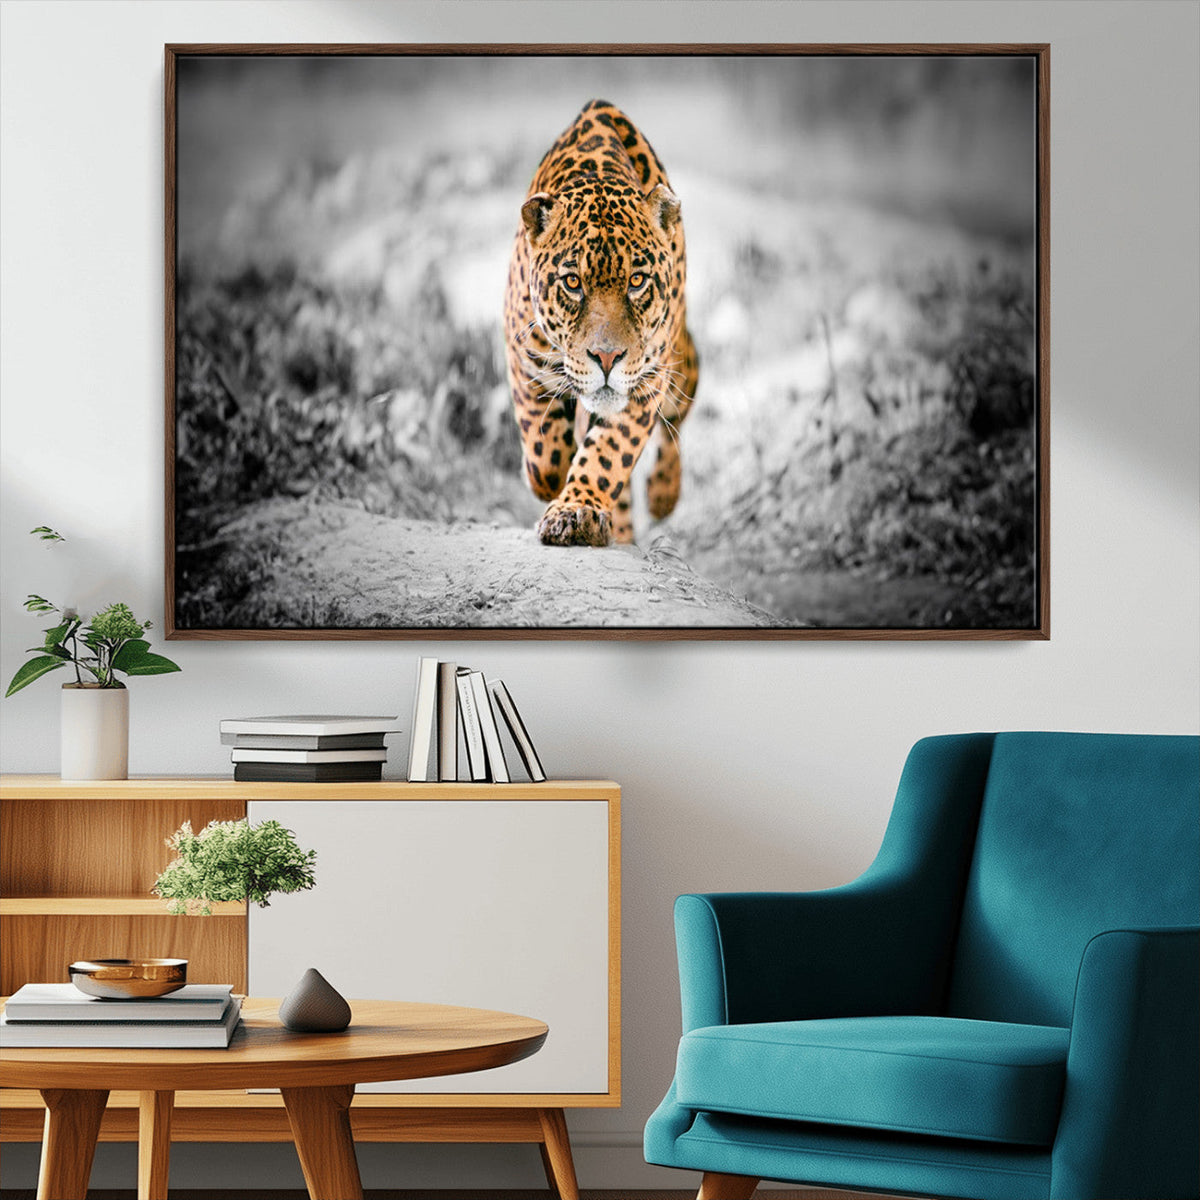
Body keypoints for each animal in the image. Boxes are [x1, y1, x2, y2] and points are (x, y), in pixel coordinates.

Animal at [504, 99, 699, 547]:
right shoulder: (523, 356)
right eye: (573, 283)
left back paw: (662, 495)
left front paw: (576, 511)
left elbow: (608, 453)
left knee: (677, 419)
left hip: (681, 363)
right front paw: (550, 480)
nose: (607, 358)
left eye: (637, 281)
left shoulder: (647, 380)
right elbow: (544, 452)